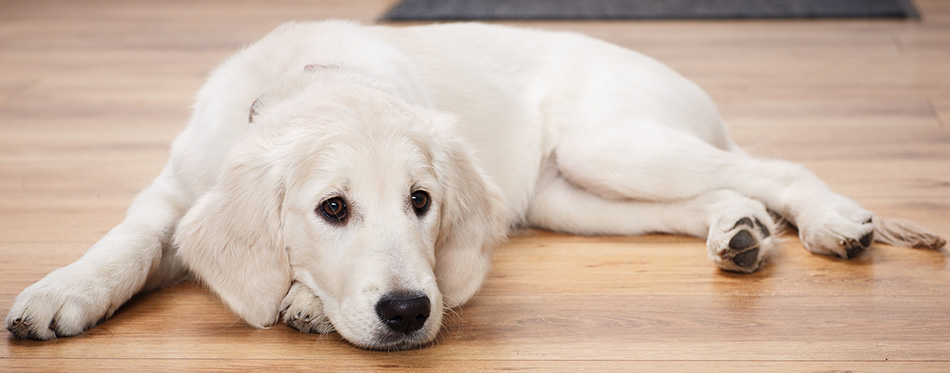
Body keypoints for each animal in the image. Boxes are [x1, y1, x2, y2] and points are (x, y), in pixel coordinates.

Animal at [5, 20, 944, 350]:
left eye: (422, 202)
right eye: (332, 208)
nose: (408, 311)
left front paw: (304, 301)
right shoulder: (172, 189)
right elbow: (126, 241)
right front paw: (61, 292)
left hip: (612, 143)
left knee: (772, 167)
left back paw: (832, 221)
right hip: (574, 195)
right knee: (714, 197)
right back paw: (740, 233)